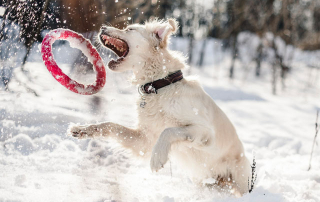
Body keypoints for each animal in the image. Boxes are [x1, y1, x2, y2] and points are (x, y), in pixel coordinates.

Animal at [68, 18, 252, 195]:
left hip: (239, 179)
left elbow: (169, 130)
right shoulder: (145, 140)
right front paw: (83, 129)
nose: (102, 27)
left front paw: (157, 158)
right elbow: (110, 125)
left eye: (130, 29)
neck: (160, 86)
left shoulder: (205, 132)